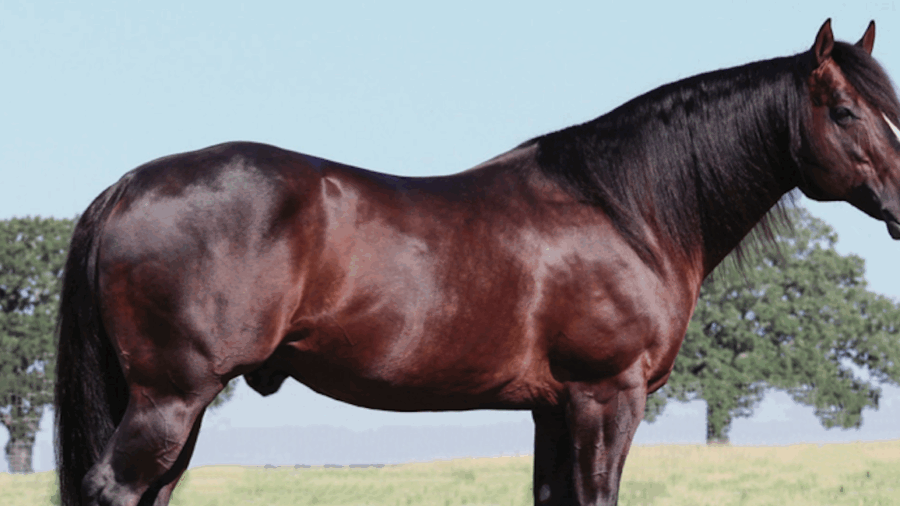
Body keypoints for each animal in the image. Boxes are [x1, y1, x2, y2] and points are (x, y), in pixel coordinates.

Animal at [55, 19, 900, 506]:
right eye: (845, 111)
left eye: (891, 107)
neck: (623, 208)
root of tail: (127, 186)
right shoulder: (606, 396)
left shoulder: (553, 408)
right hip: (171, 396)